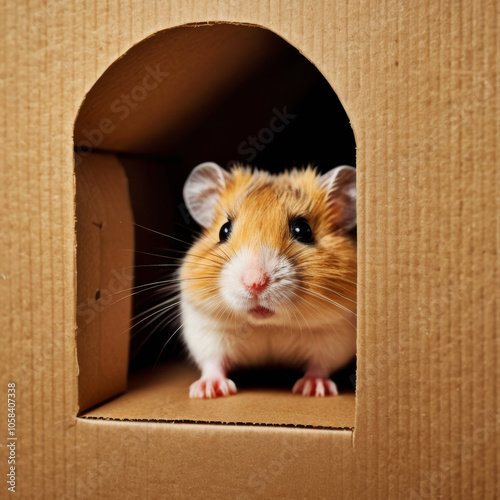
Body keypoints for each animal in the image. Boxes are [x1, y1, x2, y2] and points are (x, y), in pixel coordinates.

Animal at [179, 163, 356, 398]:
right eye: (224, 230)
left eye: (303, 230)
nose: (254, 283)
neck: (268, 325)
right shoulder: (206, 330)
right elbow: (212, 362)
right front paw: (208, 391)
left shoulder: (334, 335)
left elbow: (320, 364)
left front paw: (314, 390)